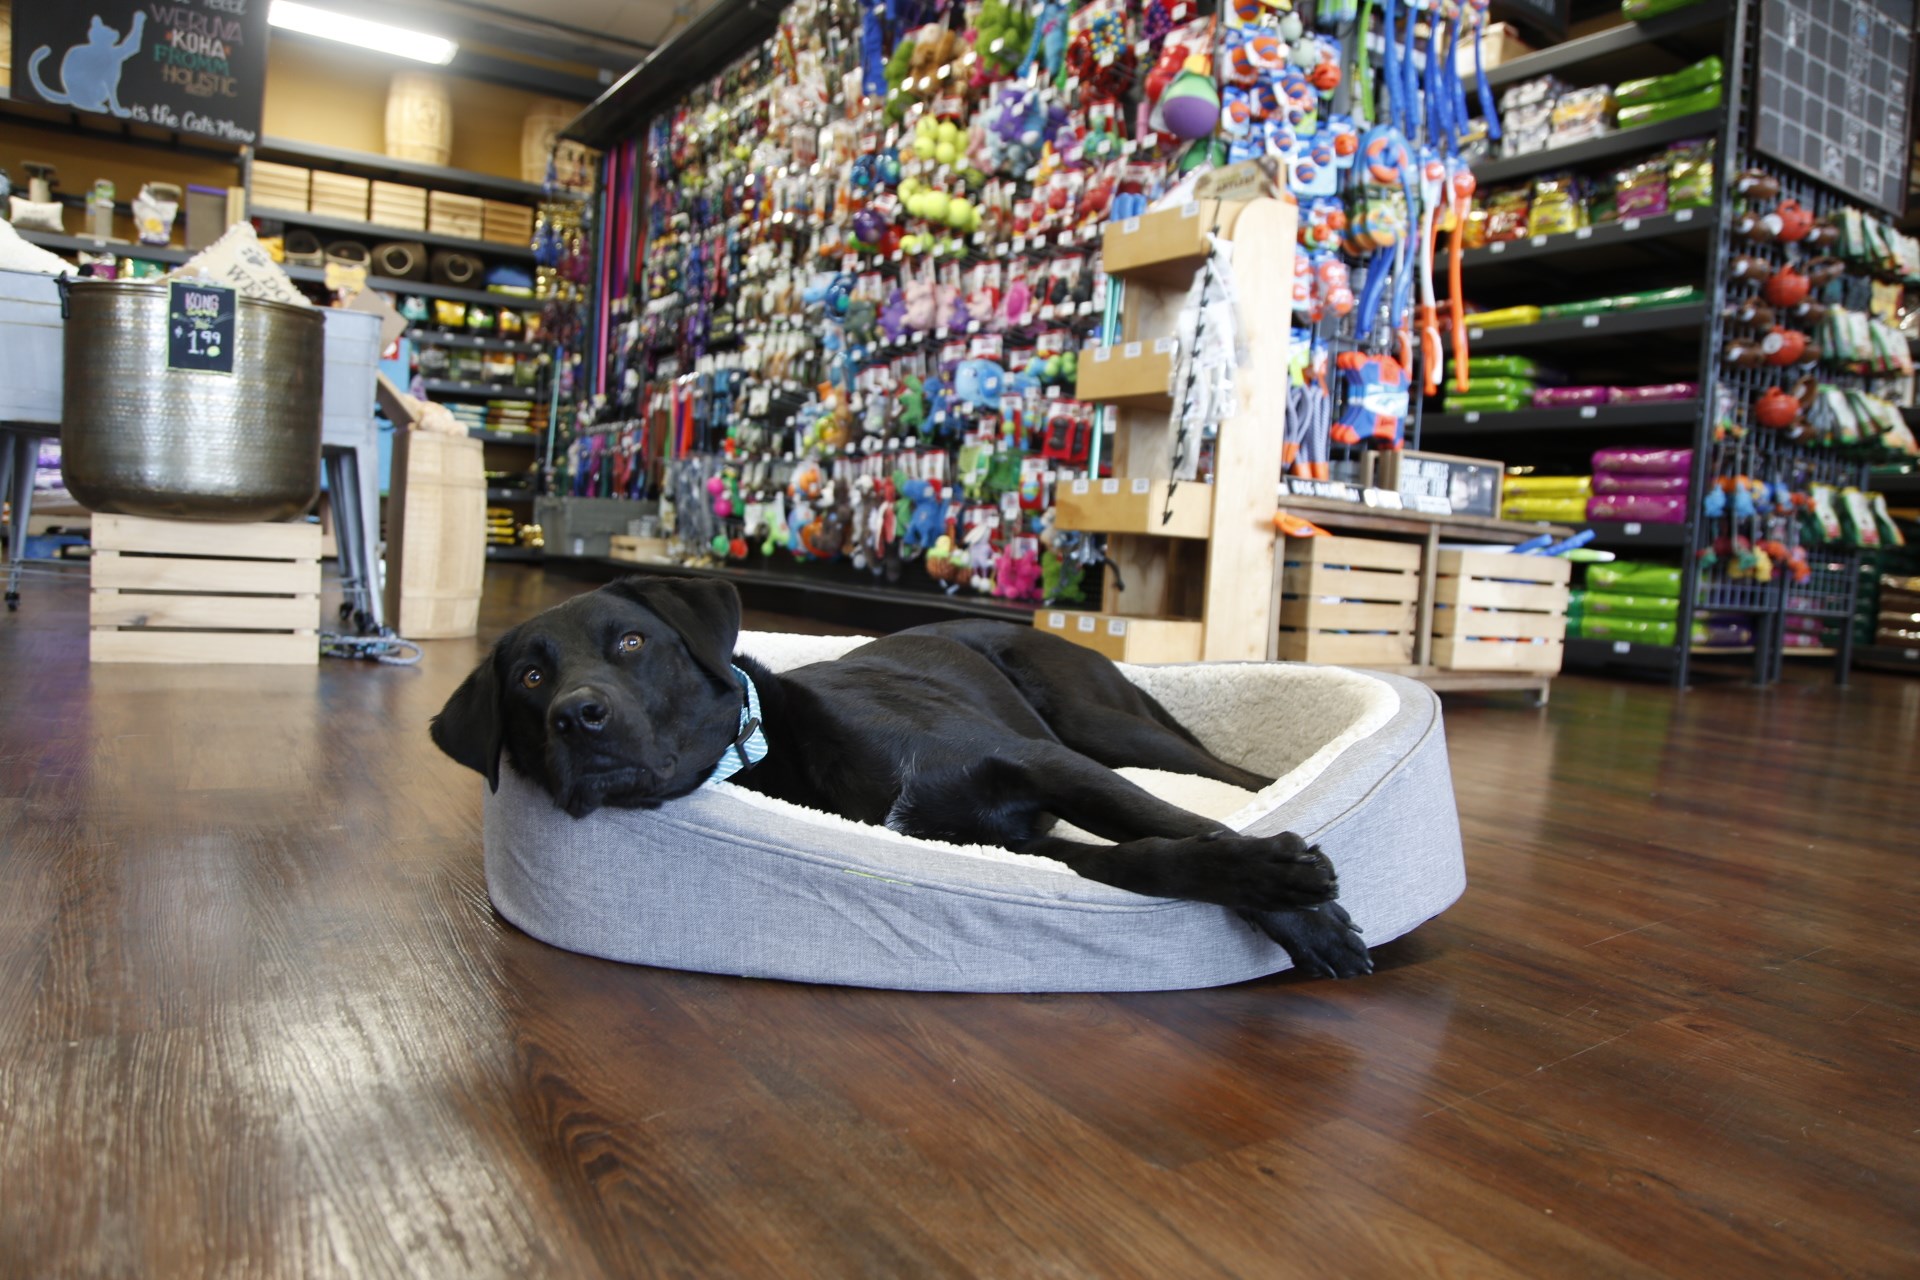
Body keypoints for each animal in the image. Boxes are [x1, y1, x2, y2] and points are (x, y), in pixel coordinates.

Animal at [432, 577, 1371, 979]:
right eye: (529, 679)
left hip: (1105, 727)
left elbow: (1183, 824)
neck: (779, 749)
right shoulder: (1025, 846)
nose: (576, 718)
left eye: (630, 642)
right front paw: (1291, 902)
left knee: (1232, 776)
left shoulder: (1045, 763)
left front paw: (1301, 901)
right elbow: (1148, 856)